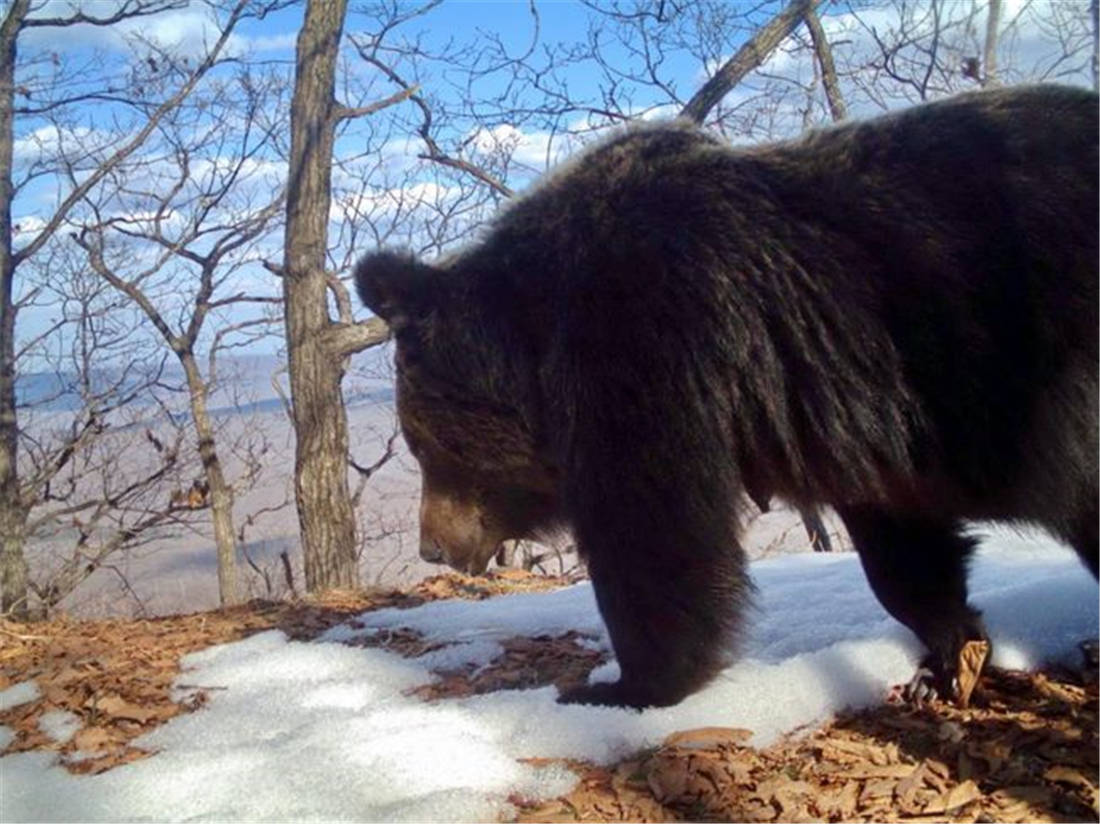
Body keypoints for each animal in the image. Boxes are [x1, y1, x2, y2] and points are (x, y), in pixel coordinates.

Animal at [356, 86, 1095, 708]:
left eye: (422, 446)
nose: (432, 546)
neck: (537, 339)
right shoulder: (865, 423)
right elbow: (901, 542)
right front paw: (947, 655)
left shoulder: (650, 340)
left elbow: (657, 528)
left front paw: (623, 684)